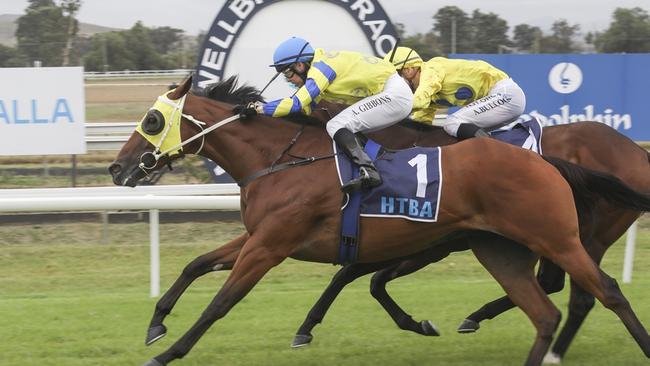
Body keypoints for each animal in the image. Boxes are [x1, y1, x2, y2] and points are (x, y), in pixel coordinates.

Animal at [110, 75, 648, 366]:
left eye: (152, 121)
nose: (117, 169)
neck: (284, 159)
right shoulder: (260, 236)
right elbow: (197, 264)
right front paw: (156, 323)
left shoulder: (272, 245)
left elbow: (222, 302)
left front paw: (167, 351)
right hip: (501, 248)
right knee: (548, 309)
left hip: (560, 238)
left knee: (601, 293)